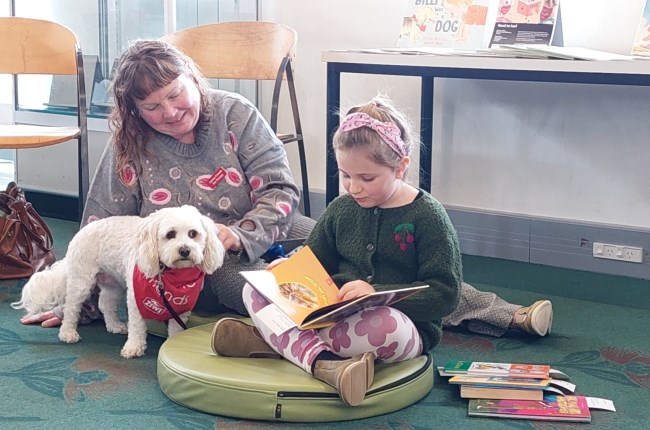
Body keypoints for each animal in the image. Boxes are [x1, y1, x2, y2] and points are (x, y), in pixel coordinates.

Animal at [11, 207, 225, 358]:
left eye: (193, 234)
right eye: (170, 234)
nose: (185, 250)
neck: (170, 276)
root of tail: (82, 230)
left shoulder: (181, 308)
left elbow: (177, 328)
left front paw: (173, 342)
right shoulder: (136, 299)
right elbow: (137, 326)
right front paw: (134, 347)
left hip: (113, 284)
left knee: (104, 304)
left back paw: (114, 325)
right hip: (82, 280)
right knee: (71, 307)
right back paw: (68, 333)